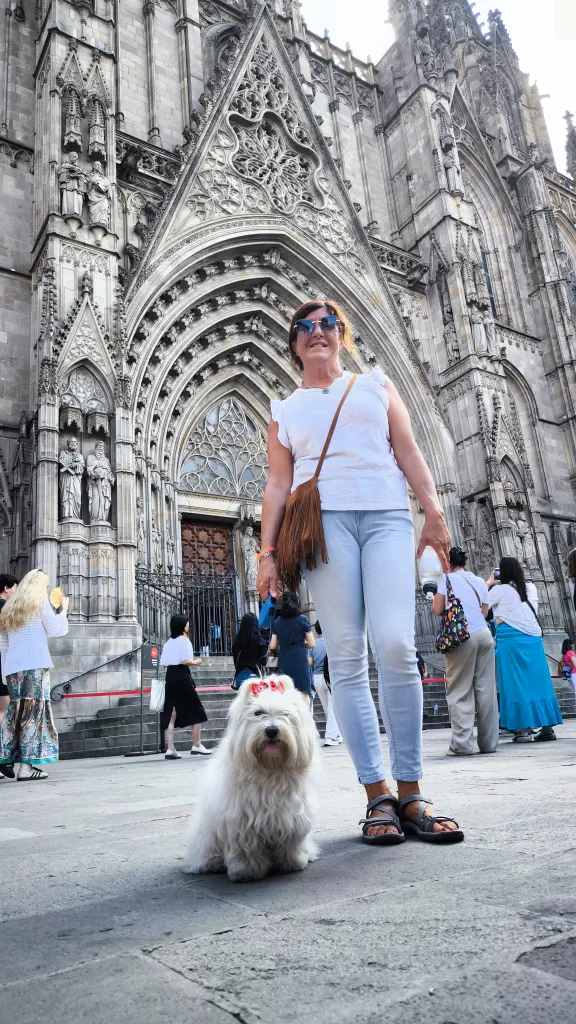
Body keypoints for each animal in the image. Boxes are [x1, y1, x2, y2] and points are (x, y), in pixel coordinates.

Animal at [183, 675, 320, 882]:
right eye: (258, 713)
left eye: (284, 713)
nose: (272, 730)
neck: (270, 769)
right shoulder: (241, 821)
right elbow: (246, 848)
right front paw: (244, 871)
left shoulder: (292, 817)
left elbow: (290, 844)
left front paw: (293, 862)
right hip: (207, 837)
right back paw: (212, 863)